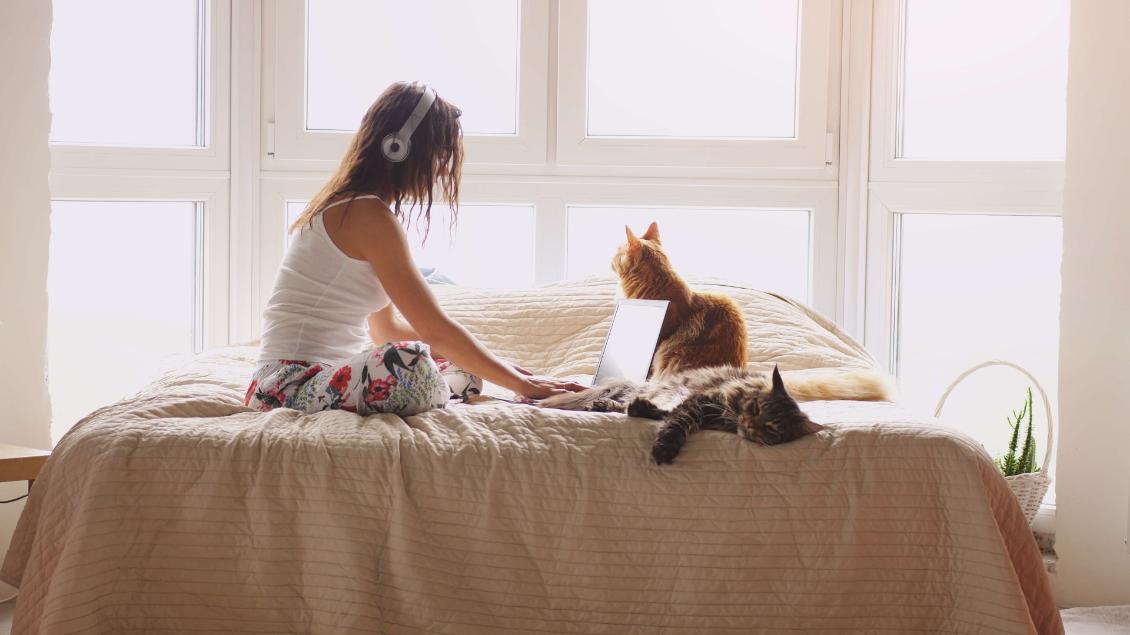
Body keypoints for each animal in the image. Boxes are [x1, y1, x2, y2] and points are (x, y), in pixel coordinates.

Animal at [537, 363, 890, 463]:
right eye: (756, 408)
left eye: (773, 429)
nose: (749, 424)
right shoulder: (699, 402)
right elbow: (678, 421)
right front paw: (664, 449)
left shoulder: (698, 408)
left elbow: (668, 417)